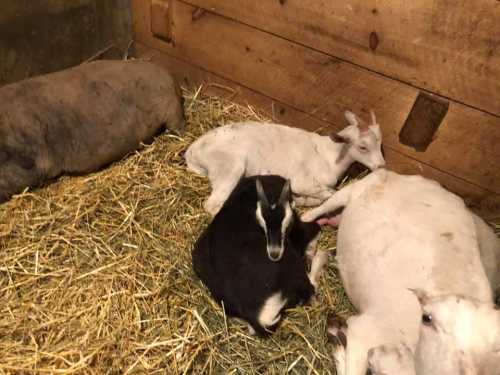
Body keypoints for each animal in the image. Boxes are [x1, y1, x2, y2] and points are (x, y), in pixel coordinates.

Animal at [186, 110, 384, 216]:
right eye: (363, 147)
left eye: (380, 141)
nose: (381, 166)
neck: (329, 155)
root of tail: (192, 151)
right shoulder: (302, 181)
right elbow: (329, 194)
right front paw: (301, 200)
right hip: (229, 167)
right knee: (212, 205)